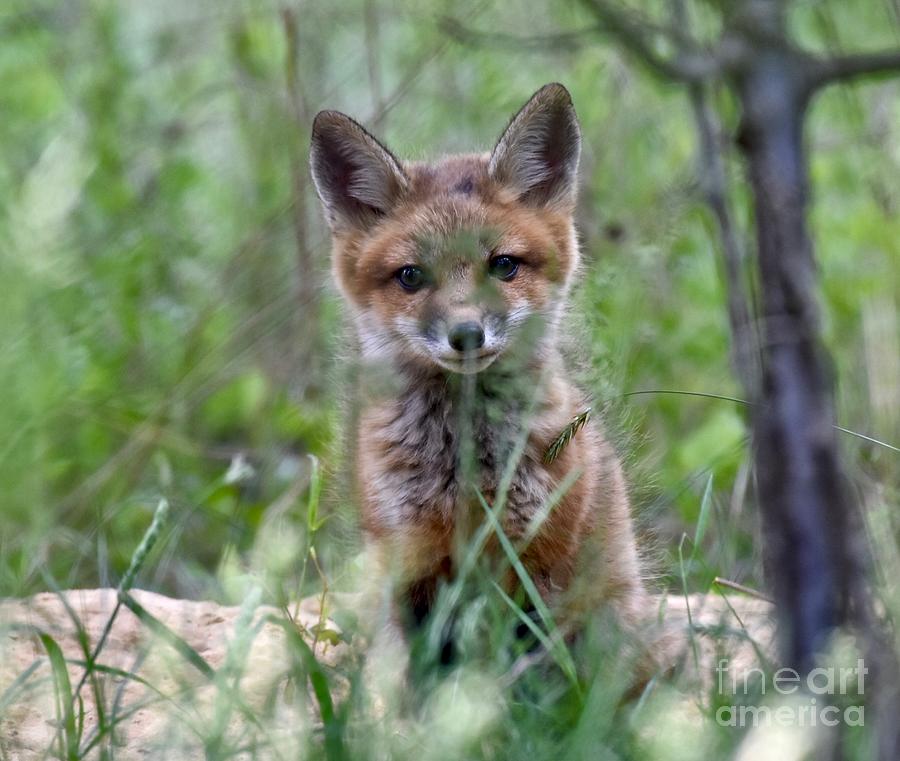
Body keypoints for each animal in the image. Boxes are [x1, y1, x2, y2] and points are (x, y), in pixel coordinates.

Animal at [310, 83, 648, 664]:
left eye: (504, 265)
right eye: (411, 277)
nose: (466, 334)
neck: (461, 470)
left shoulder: (538, 559)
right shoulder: (409, 558)